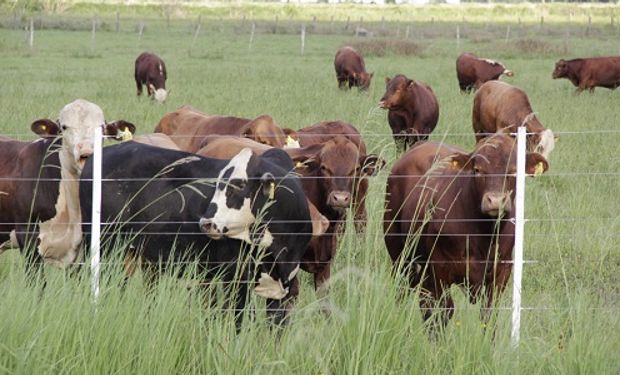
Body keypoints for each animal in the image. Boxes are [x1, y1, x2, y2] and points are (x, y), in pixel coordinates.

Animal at [81, 143, 314, 326]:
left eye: (239, 185)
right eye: (217, 183)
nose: (206, 223)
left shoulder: (283, 288)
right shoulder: (235, 279)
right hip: (104, 247)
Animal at [386, 136, 548, 328]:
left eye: (515, 171)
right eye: (477, 170)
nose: (495, 201)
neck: (484, 234)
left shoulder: (502, 271)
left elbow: (489, 314)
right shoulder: (440, 269)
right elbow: (444, 311)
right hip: (398, 252)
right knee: (404, 290)